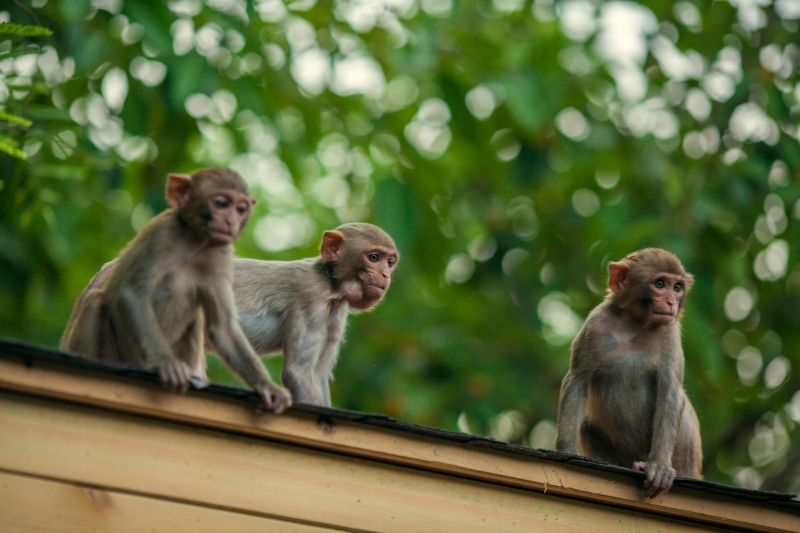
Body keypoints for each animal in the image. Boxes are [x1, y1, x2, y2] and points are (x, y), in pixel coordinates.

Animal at [59, 168, 292, 414]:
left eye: (241, 209)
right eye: (221, 203)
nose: (231, 221)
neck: (195, 243)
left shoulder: (221, 255)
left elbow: (222, 328)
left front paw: (267, 387)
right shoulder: (161, 234)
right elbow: (132, 294)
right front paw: (165, 362)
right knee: (97, 300)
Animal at [63, 220, 400, 408]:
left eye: (390, 261)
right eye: (373, 257)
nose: (385, 276)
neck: (329, 280)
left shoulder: (335, 310)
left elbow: (317, 373)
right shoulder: (311, 299)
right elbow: (299, 371)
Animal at [552, 247, 704, 496]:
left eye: (677, 287)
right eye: (660, 284)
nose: (671, 302)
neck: (636, 325)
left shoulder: (670, 334)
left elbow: (670, 393)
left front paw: (660, 466)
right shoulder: (596, 325)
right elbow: (577, 382)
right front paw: (566, 451)